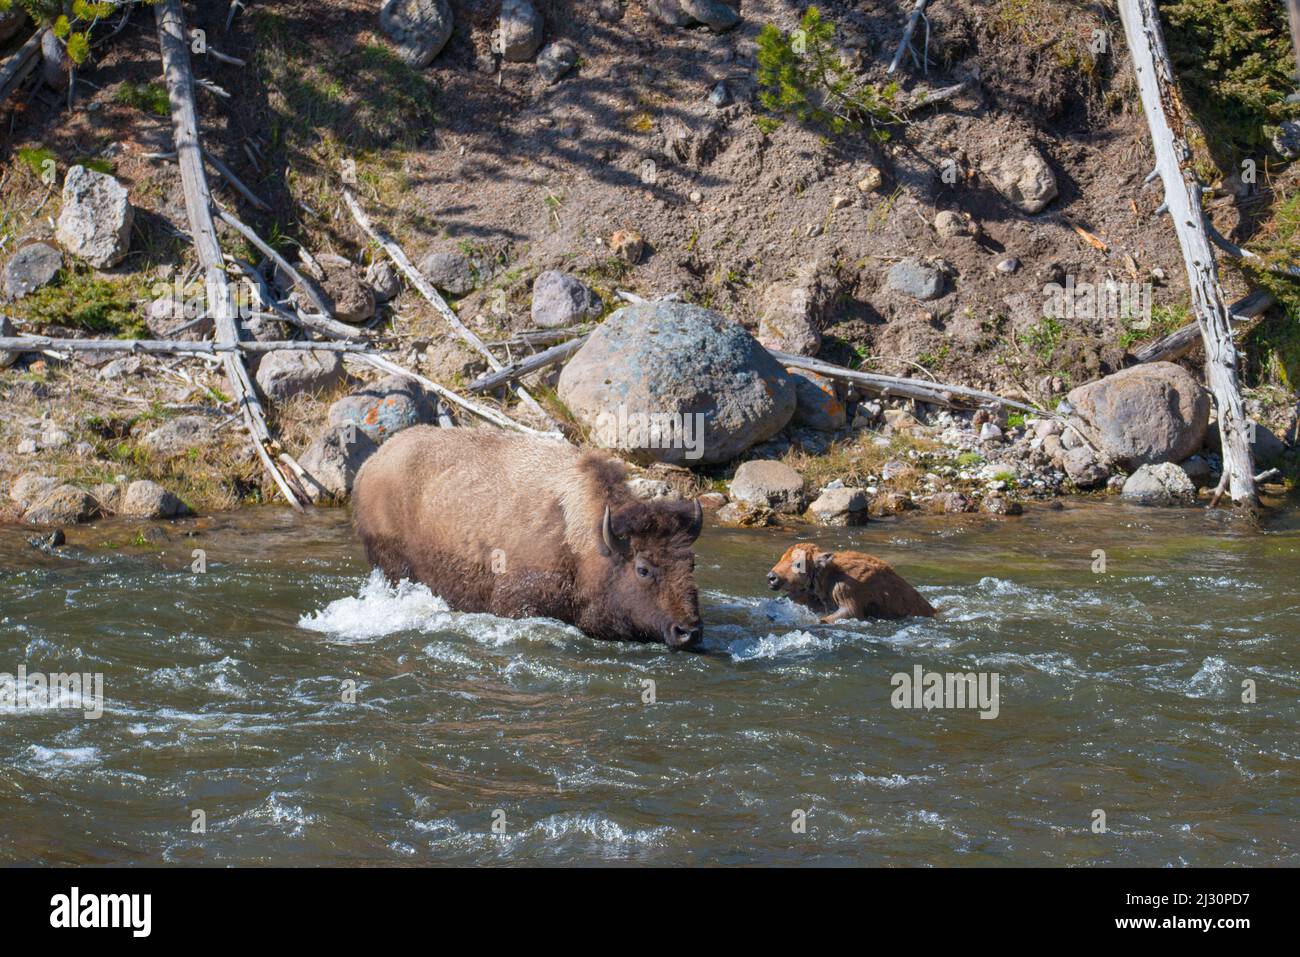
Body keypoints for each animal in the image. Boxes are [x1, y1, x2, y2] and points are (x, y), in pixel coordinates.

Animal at [759, 540, 935, 624]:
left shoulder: (846, 592)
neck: (826, 575)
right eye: (782, 558)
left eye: (798, 563)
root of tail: (933, 610)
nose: (771, 577)